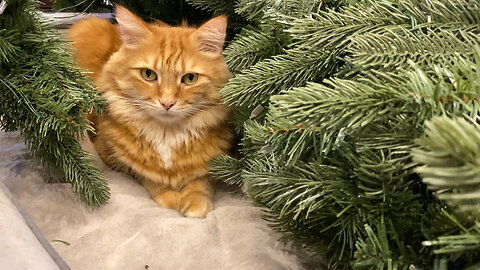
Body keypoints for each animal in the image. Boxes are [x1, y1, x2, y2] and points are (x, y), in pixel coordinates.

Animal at [67, 5, 232, 217]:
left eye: (190, 78)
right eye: (148, 74)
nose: (167, 103)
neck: (167, 134)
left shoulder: (214, 161)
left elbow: (202, 181)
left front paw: (195, 201)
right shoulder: (114, 157)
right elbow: (149, 178)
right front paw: (169, 196)